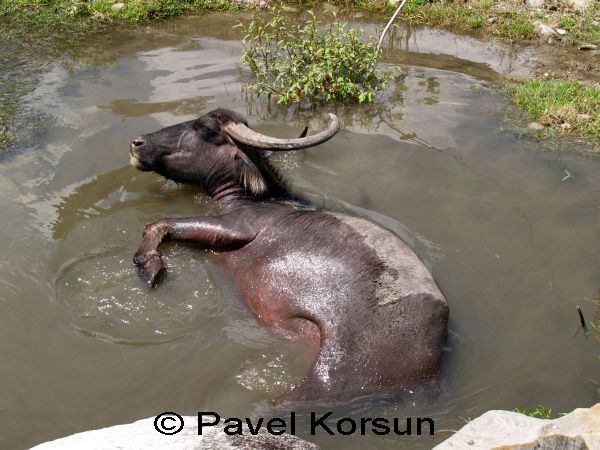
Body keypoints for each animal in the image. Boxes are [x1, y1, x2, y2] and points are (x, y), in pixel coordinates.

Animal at [129, 108, 448, 400]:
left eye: (204, 128)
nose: (137, 143)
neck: (254, 199)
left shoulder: (234, 227)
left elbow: (158, 224)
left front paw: (150, 266)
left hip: (330, 373)